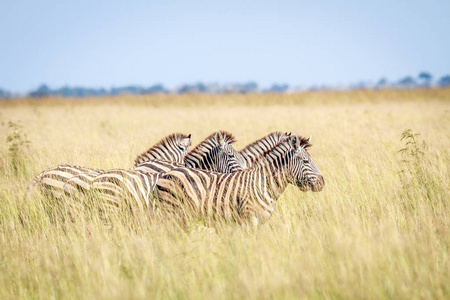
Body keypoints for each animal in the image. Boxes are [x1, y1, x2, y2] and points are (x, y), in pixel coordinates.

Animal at [153, 135, 326, 226]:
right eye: (305, 161)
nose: (322, 183)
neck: (262, 184)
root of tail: (165, 174)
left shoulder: (261, 221)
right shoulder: (249, 219)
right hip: (171, 213)